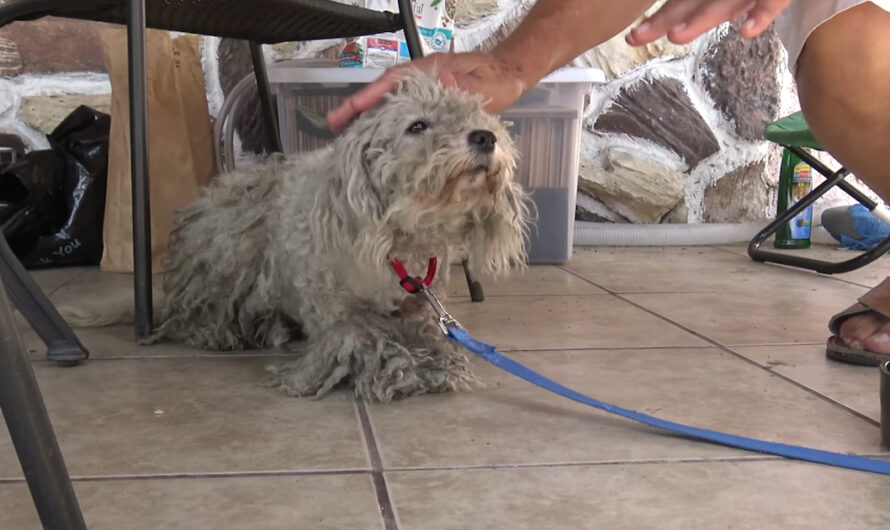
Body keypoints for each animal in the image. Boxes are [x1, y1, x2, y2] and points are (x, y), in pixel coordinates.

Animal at [71, 71, 528, 400]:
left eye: (476, 115)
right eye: (417, 125)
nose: (485, 137)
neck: (395, 237)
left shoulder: (418, 306)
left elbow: (433, 335)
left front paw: (441, 358)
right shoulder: (339, 315)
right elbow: (368, 344)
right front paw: (405, 370)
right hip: (226, 261)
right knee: (199, 313)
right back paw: (218, 333)